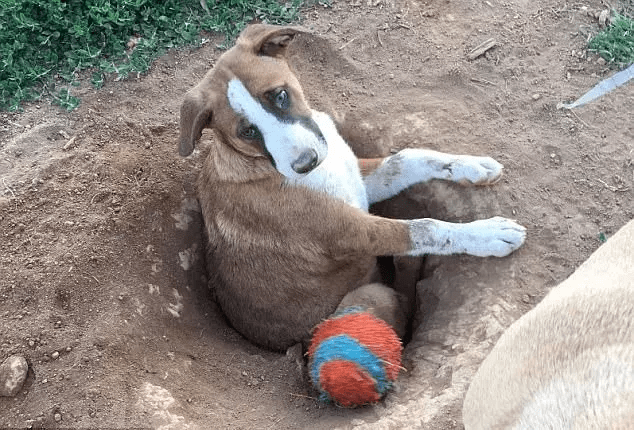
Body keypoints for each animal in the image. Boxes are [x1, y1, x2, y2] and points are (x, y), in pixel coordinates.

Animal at [177, 23, 524, 352]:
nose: (305, 163)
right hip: (371, 294)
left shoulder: (357, 180)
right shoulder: (354, 232)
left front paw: (471, 165)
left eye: (280, 95)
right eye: (247, 131)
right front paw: (488, 234)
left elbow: (407, 158)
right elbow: (425, 227)